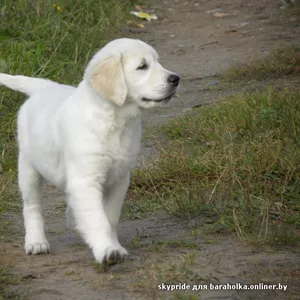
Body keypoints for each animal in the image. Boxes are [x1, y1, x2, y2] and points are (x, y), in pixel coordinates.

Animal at [0, 38, 178, 264]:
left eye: (157, 62)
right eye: (142, 66)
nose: (176, 79)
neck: (114, 120)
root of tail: (46, 86)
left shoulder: (119, 178)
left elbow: (109, 217)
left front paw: (113, 244)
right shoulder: (86, 179)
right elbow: (98, 219)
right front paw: (107, 250)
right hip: (28, 168)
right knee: (32, 207)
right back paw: (36, 241)